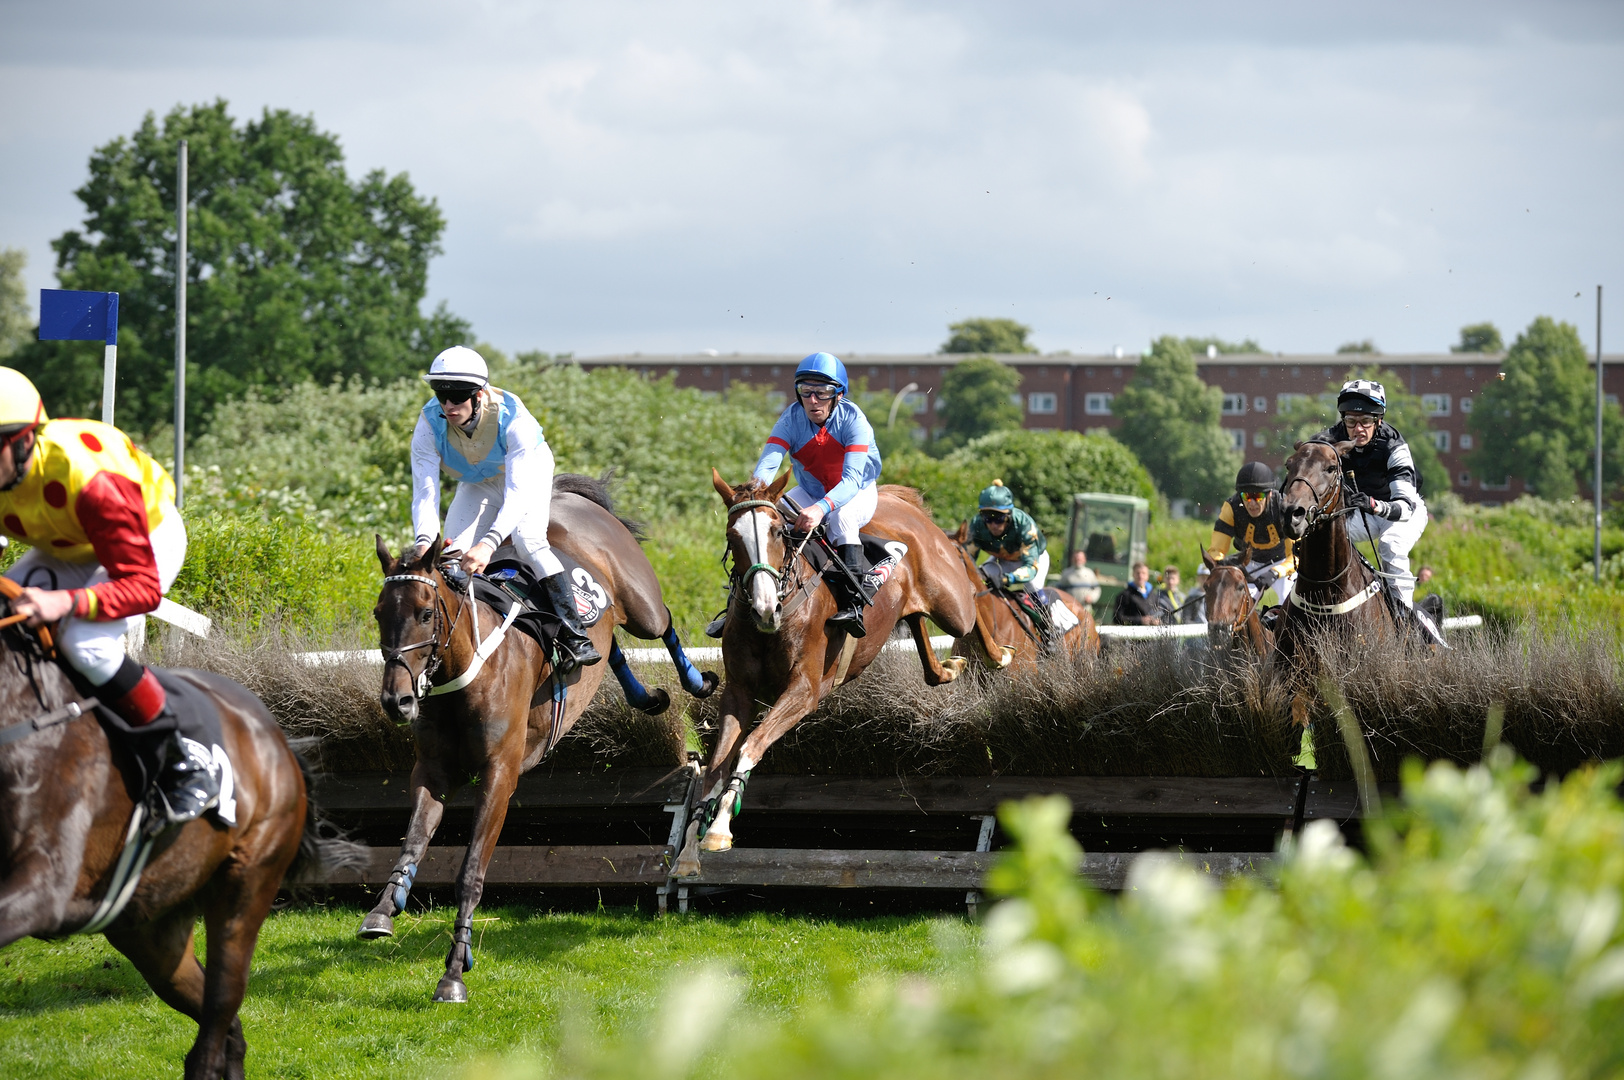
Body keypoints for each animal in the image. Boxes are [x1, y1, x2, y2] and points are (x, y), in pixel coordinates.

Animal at [0, 610, 323, 1071]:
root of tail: (277, 740)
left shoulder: (42, 886)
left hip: (245, 887)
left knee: (216, 1023)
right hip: (152, 929)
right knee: (227, 1030)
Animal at [358, 470, 714, 1000]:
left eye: (424, 612)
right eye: (380, 612)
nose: (396, 701)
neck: (468, 674)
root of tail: (566, 496)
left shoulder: (499, 776)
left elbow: (470, 873)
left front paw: (454, 971)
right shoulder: (433, 770)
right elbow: (412, 841)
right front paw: (384, 909)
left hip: (640, 602)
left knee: (664, 620)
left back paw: (696, 682)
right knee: (609, 647)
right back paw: (642, 695)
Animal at [672, 470, 974, 870]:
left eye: (777, 532)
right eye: (732, 537)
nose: (765, 609)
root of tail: (899, 500)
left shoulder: (804, 690)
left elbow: (751, 745)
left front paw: (720, 828)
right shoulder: (738, 692)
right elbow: (716, 766)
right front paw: (690, 849)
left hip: (954, 604)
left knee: (975, 610)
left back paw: (999, 652)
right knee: (919, 626)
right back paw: (945, 669)